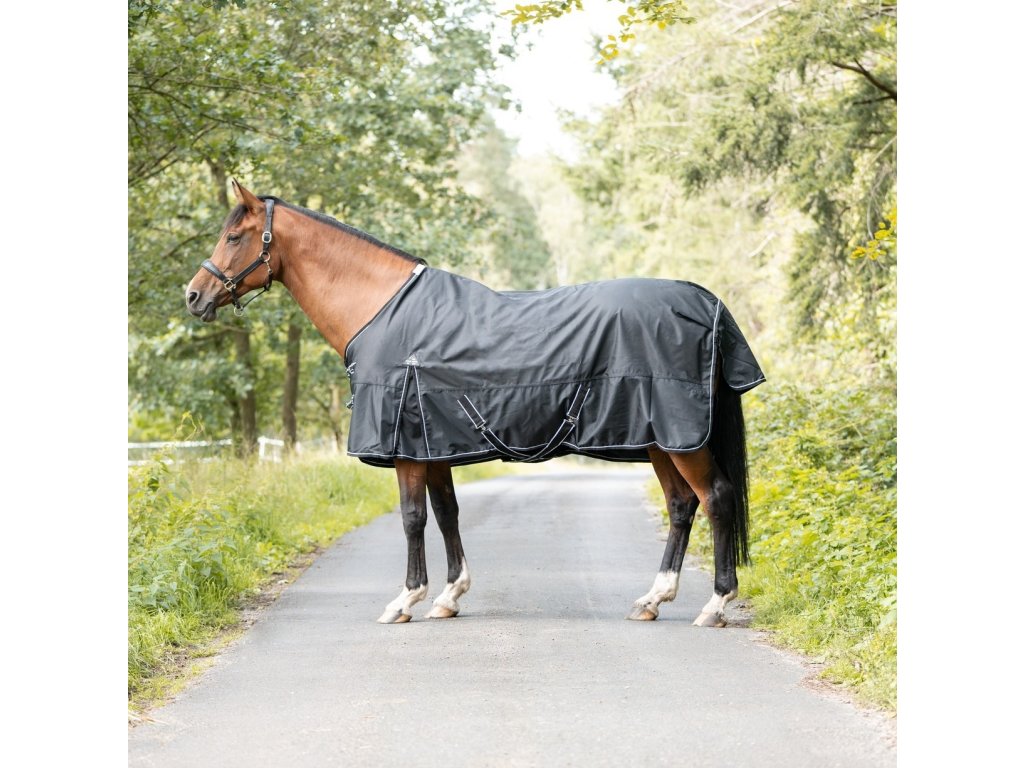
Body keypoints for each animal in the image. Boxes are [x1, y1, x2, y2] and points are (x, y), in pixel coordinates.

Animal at [186, 180, 765, 627]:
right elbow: (447, 513)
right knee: (681, 505)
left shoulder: (407, 447)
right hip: (661, 439)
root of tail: (705, 301)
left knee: (715, 498)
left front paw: (405, 600)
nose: (193, 296)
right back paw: (652, 599)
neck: (381, 309)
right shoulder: (433, 442)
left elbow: (413, 517)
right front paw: (448, 596)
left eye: (234, 236)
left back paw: (715, 605)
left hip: (679, 438)